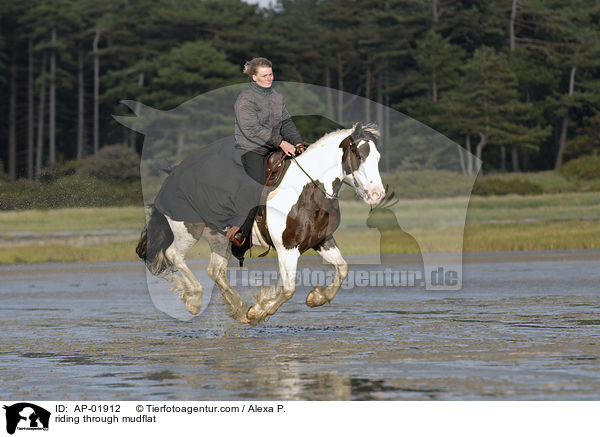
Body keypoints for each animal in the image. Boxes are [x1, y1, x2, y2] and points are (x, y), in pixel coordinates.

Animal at [136, 121, 384, 322]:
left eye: (378, 158)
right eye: (359, 156)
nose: (377, 195)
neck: (307, 190)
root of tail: (173, 174)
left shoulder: (322, 241)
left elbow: (342, 269)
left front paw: (317, 297)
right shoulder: (287, 248)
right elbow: (288, 289)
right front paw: (260, 311)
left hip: (219, 237)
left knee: (215, 270)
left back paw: (239, 308)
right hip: (187, 230)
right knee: (174, 255)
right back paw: (196, 301)